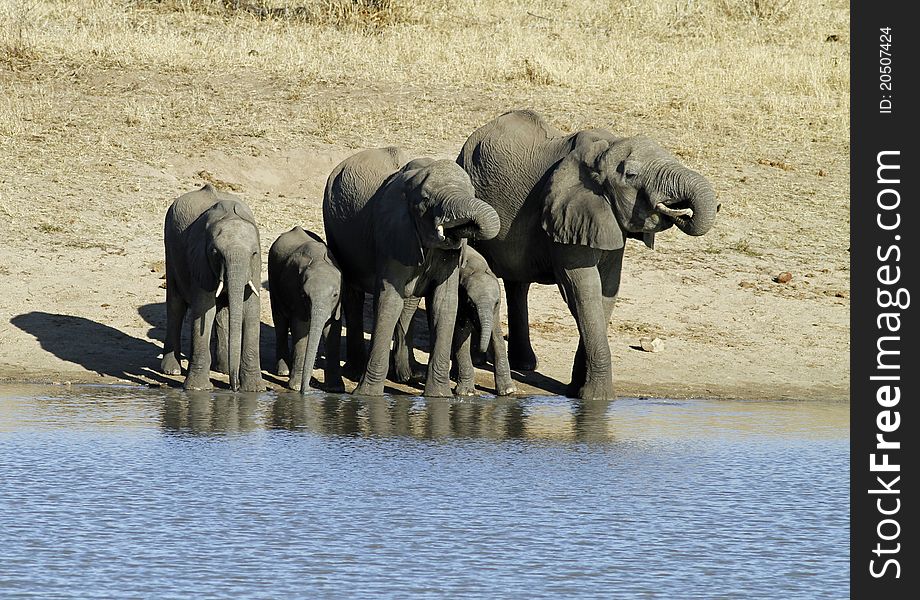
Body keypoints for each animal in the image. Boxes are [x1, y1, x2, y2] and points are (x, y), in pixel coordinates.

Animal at [161, 182, 262, 394]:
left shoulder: (256, 267)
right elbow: (204, 310)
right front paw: (197, 389)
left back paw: (222, 368)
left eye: (254, 253)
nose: (234, 388)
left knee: (222, 311)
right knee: (176, 306)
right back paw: (172, 370)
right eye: (216, 253)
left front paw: (254, 390)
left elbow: (251, 309)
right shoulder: (200, 259)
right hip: (171, 251)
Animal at [268, 225, 344, 394]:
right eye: (304, 295)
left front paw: (336, 389)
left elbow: (333, 329)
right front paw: (295, 387)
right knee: (280, 321)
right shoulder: (295, 294)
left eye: (335, 294)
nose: (307, 390)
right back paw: (283, 371)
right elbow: (300, 329)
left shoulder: (338, 303)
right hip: (273, 279)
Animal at [320, 147, 500, 396]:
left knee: (409, 304)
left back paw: (408, 374)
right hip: (333, 227)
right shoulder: (391, 232)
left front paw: (439, 396)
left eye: (471, 192)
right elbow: (389, 301)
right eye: (425, 201)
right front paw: (366, 396)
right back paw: (356, 372)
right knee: (353, 293)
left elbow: (444, 303)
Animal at [390, 244, 512, 398]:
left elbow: (496, 334)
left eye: (496, 303)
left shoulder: (495, 306)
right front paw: (467, 393)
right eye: (471, 304)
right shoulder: (460, 296)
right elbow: (461, 332)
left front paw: (508, 391)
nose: (480, 349)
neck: (477, 268)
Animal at [460, 110, 720, 400]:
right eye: (631, 175)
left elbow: (607, 290)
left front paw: (578, 390)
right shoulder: (566, 213)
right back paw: (483, 359)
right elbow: (583, 289)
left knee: (518, 283)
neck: (603, 151)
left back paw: (525, 364)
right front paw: (598, 399)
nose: (683, 211)